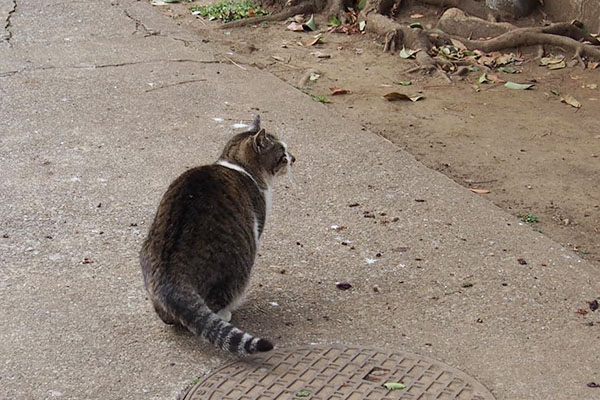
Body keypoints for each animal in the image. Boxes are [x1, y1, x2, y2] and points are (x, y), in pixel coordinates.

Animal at [138, 115, 292, 354]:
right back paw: (226, 313)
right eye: (282, 155)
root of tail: (170, 281)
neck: (239, 166)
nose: (294, 158)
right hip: (238, 263)